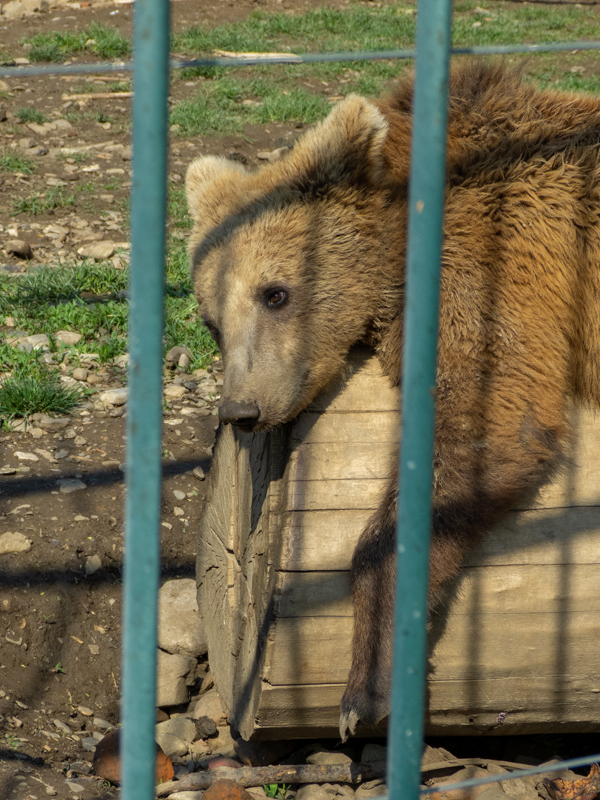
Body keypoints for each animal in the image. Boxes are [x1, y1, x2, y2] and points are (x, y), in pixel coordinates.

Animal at [185, 61, 600, 741]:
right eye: (212, 321)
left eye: (275, 293)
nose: (241, 411)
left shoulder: (498, 255)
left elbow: (488, 422)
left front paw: (365, 688)